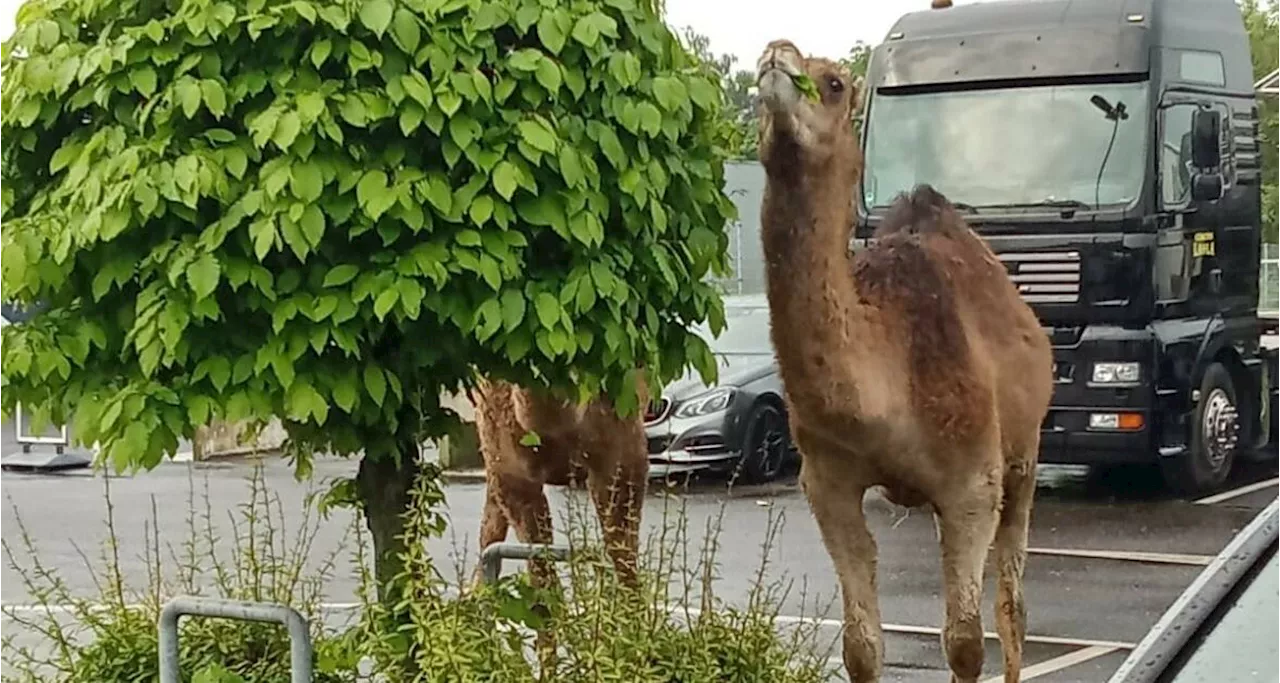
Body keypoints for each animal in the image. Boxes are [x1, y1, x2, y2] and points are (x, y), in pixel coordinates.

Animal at [752, 41, 1054, 683]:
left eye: (834, 83)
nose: (775, 55)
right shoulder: (828, 483)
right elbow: (861, 646)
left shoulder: (972, 483)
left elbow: (964, 643)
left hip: (1024, 456)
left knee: (1011, 604)